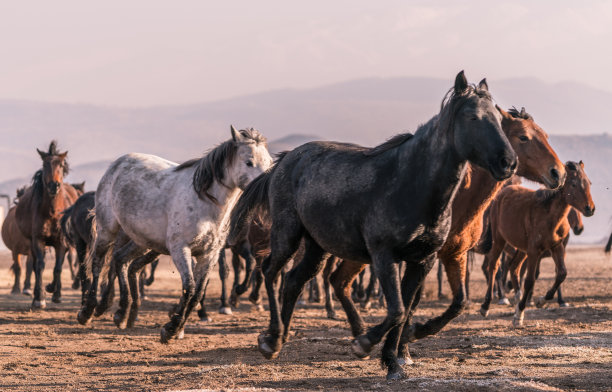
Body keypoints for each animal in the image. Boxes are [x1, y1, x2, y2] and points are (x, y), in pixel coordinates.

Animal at [15, 141, 79, 310]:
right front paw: (39, 298)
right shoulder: (38, 240)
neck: (52, 212)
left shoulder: (61, 242)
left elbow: (58, 267)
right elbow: (40, 266)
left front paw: (55, 293)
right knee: (36, 264)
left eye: (61, 165)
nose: (53, 186)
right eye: (45, 164)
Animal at [77, 127, 272, 342]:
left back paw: (121, 313)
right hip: (107, 229)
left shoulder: (209, 255)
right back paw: (88, 311)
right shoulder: (181, 249)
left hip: (141, 240)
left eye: (269, 162)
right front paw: (171, 328)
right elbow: (190, 287)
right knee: (98, 263)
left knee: (120, 260)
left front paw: (176, 328)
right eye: (249, 162)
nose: (265, 191)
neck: (204, 202)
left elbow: (197, 293)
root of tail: (117, 164)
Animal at [228, 71, 516, 380]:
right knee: (271, 271)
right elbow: (397, 309)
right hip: (287, 234)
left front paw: (393, 360)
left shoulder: (422, 260)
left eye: (498, 119)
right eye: (473, 117)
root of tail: (283, 162)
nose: (508, 162)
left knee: (294, 281)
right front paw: (365, 343)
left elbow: (408, 309)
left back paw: (279, 340)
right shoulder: (383, 255)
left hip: (317, 247)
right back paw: (271, 338)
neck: (411, 184)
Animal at [480, 161, 596, 326]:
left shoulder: (557, 247)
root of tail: (501, 194)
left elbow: (561, 273)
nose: (590, 209)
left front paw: (542, 301)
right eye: (573, 184)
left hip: (521, 248)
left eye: (589, 183)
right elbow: (530, 280)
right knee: (494, 267)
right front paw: (519, 314)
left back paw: (517, 297)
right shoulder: (534, 251)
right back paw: (486, 306)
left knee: (514, 268)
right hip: (500, 240)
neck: (549, 216)